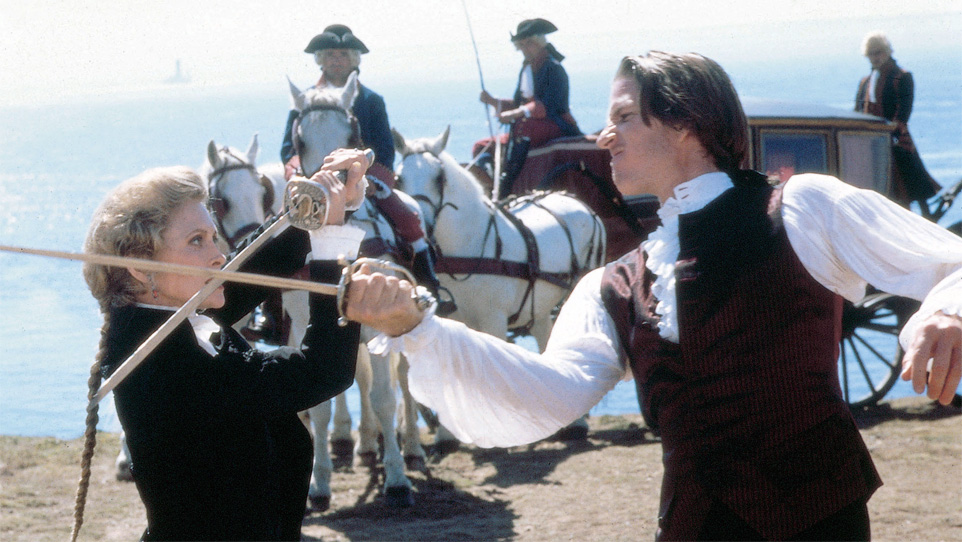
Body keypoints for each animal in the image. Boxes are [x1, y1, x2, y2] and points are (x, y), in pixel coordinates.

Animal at [198, 125, 425, 510]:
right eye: (220, 201)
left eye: (261, 191)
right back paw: (364, 441)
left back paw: (409, 446)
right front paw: (319, 484)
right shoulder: (304, 328)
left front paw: (396, 479)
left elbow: (383, 397)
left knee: (404, 382)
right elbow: (320, 405)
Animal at [393, 126, 607, 443]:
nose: (416, 221)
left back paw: (577, 423)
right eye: (398, 178)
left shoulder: (493, 320)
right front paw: (445, 436)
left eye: (439, 177)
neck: (470, 248)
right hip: (540, 306)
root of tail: (575, 201)